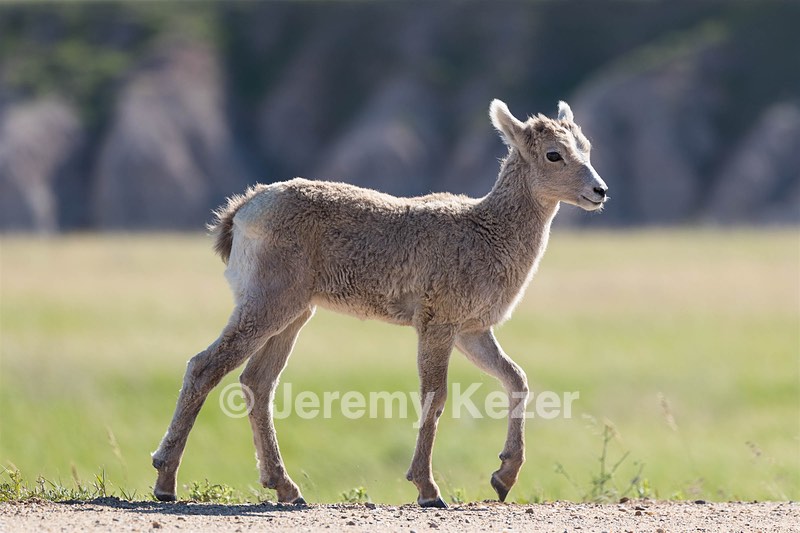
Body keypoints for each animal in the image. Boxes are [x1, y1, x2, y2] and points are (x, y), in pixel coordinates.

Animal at [152, 99, 608, 507]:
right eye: (553, 153)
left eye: (586, 146)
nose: (599, 191)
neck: (487, 231)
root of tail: (243, 210)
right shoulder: (437, 326)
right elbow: (435, 397)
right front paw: (428, 491)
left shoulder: (473, 332)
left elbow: (516, 379)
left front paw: (503, 478)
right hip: (266, 306)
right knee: (204, 366)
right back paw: (165, 483)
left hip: (293, 315)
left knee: (257, 383)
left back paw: (287, 489)